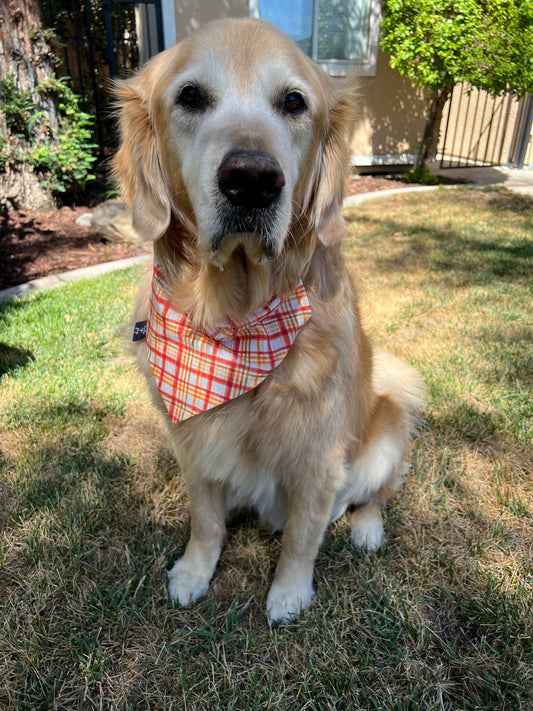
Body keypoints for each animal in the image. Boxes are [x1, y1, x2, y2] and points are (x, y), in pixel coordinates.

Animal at [112, 16, 424, 624]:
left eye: (294, 102)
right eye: (190, 96)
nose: (252, 179)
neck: (234, 323)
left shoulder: (319, 457)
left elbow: (302, 535)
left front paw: (289, 594)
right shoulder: (193, 445)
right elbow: (206, 520)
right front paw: (195, 570)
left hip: (386, 430)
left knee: (373, 496)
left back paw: (366, 528)